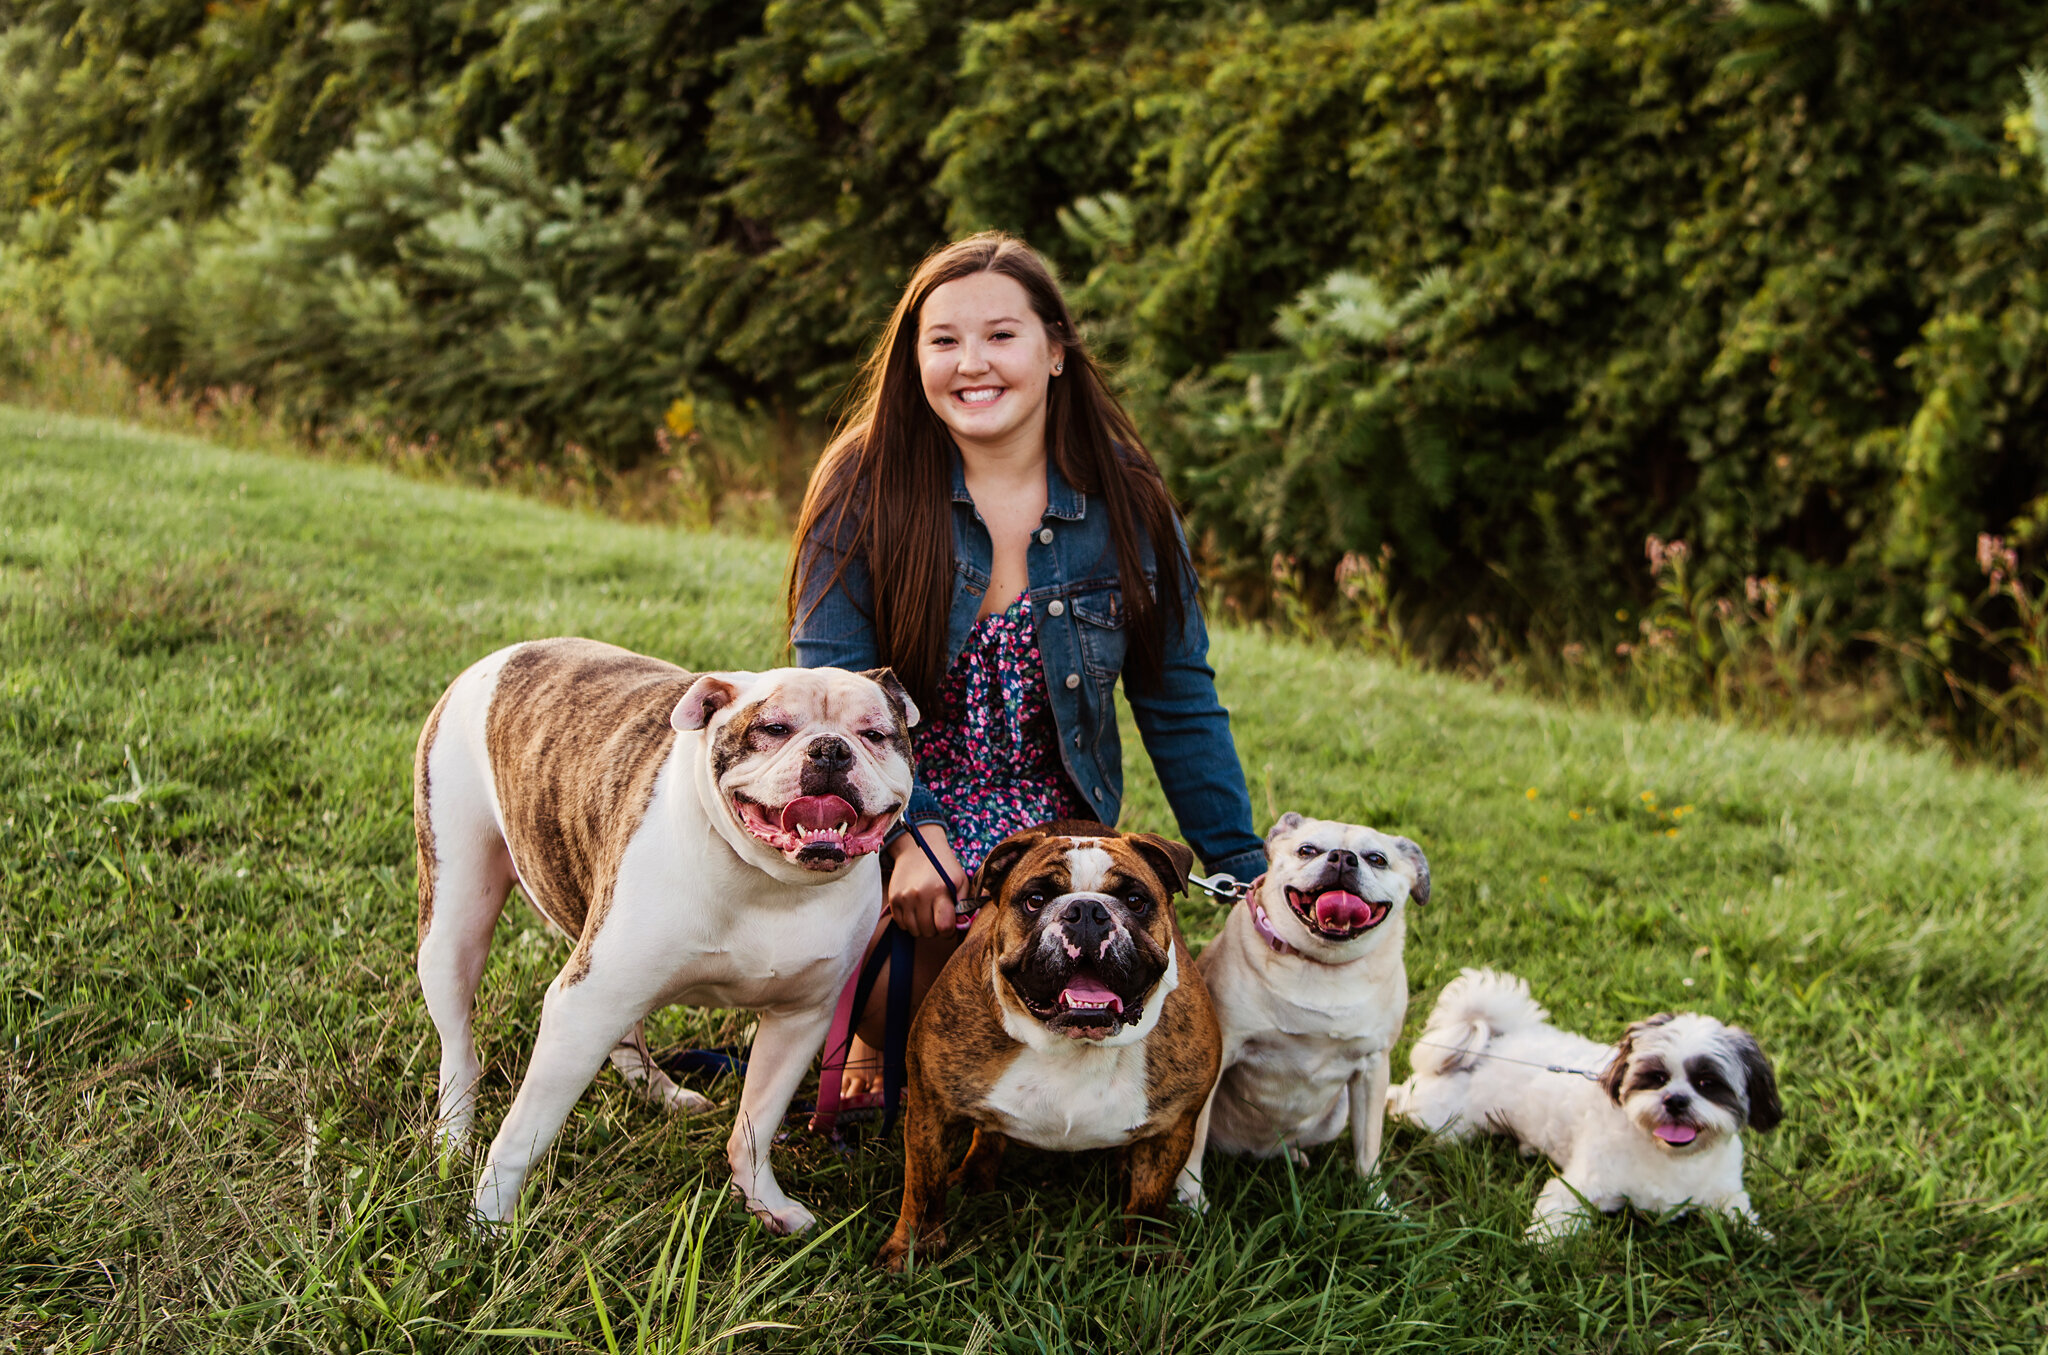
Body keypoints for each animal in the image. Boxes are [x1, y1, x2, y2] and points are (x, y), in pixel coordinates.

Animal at [876, 822, 1212, 1277]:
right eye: (1035, 900)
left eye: (1135, 901)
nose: (1087, 911)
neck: (1077, 1043)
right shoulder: (932, 1110)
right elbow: (923, 1187)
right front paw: (911, 1250)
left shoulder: (1172, 1127)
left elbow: (1149, 1199)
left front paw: (1148, 1254)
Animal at [1179, 810, 1433, 1203]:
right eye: (1307, 850)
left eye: (1377, 859)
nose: (1343, 857)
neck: (1321, 964)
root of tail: (1251, 1151)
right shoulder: (1220, 1055)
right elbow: (1194, 1143)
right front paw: (1190, 1199)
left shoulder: (1373, 1069)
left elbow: (1368, 1149)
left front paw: (1377, 1203)